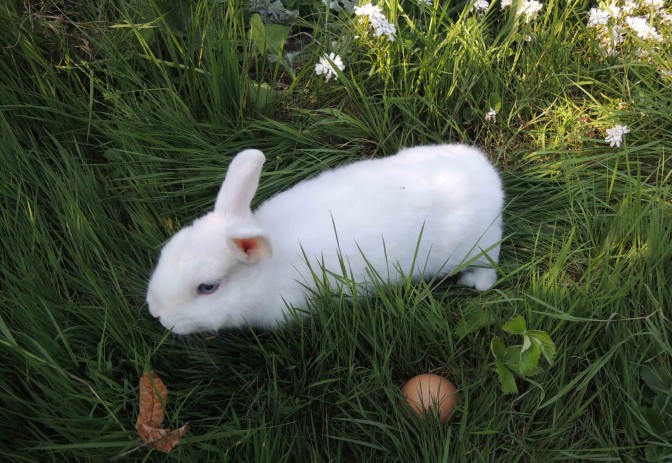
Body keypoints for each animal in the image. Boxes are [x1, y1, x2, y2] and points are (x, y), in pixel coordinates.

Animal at [147, 145, 504, 334]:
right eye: (168, 249)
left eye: (207, 288)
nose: (156, 313)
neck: (270, 268)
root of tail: (489, 176)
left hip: (478, 246)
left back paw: (475, 283)